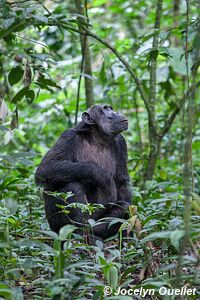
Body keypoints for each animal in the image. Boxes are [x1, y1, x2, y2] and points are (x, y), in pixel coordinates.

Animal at [35, 104, 132, 240]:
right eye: (106, 109)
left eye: (110, 108)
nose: (116, 112)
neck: (98, 138)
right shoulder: (68, 136)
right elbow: (46, 168)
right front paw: (103, 177)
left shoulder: (121, 143)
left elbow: (122, 182)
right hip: (57, 227)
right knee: (69, 185)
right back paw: (80, 235)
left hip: (96, 221)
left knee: (123, 206)